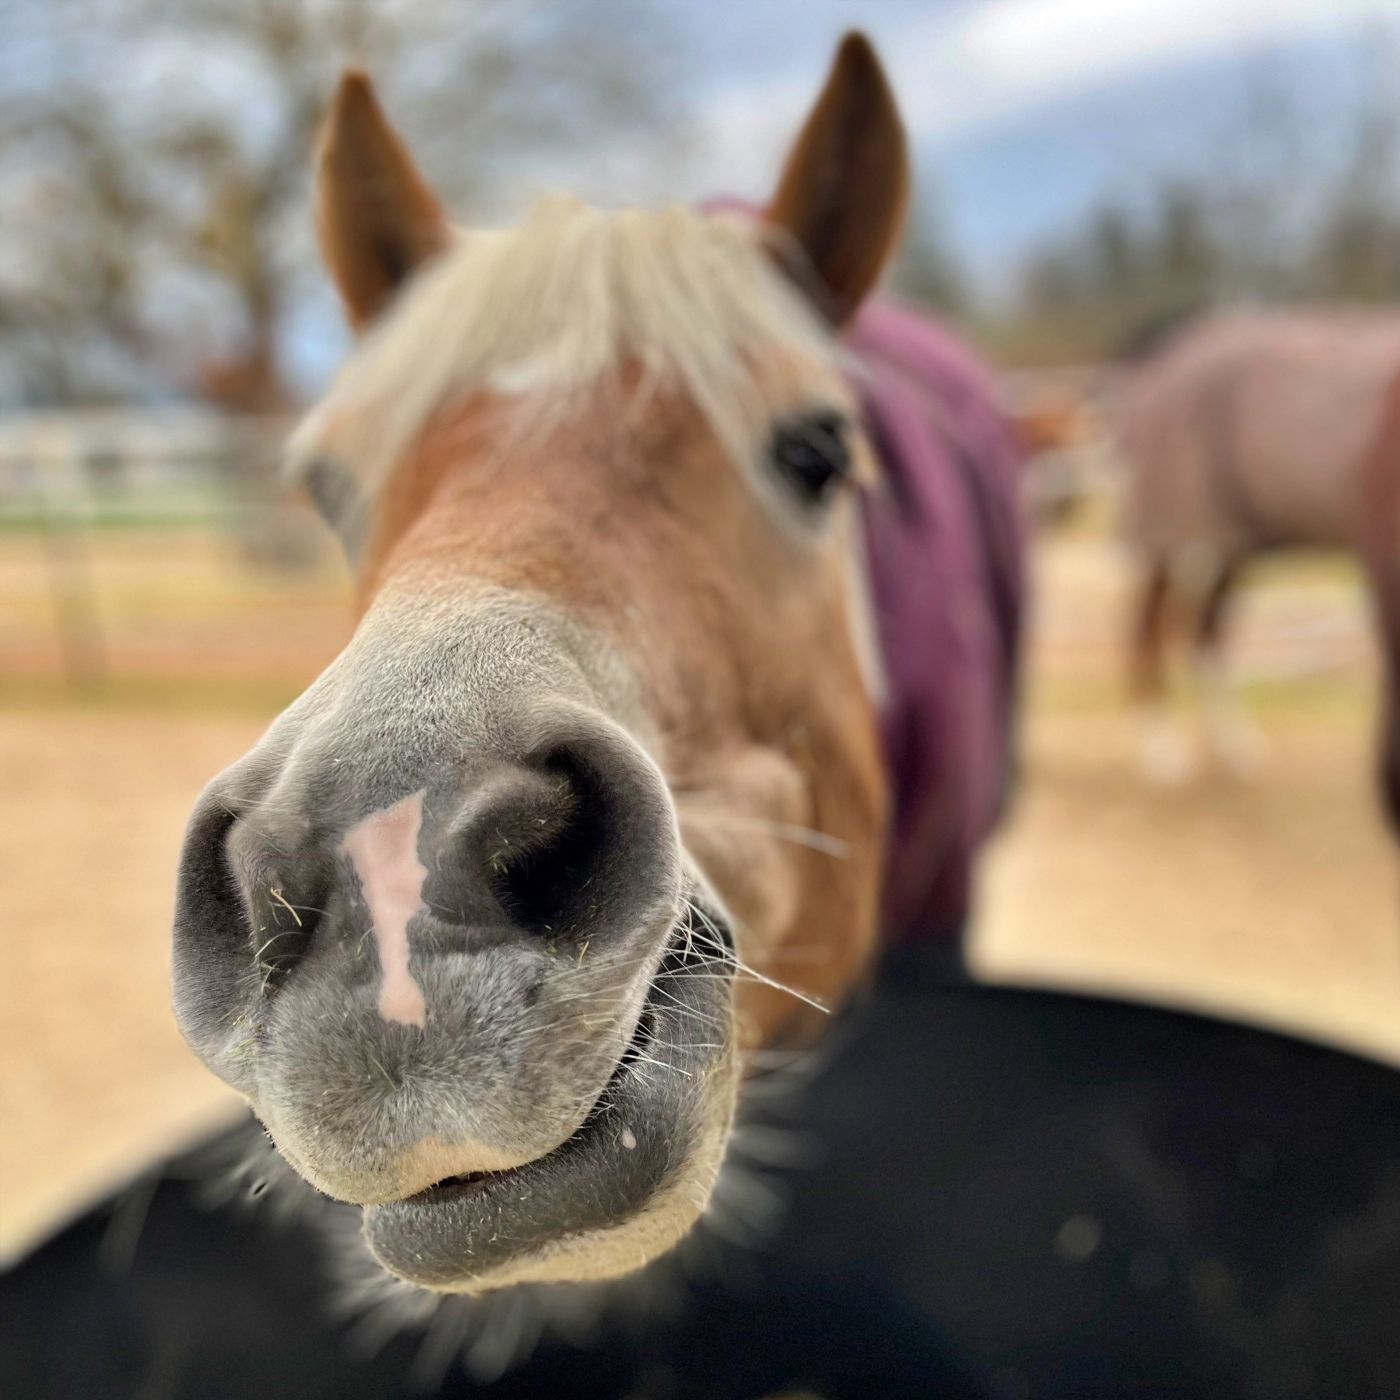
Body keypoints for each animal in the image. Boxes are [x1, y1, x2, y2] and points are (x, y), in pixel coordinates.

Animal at [1116, 309, 1400, 784]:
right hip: (1178, 535)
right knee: (1151, 627)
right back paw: (1161, 752)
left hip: (1227, 544)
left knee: (1204, 631)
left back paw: (1234, 748)